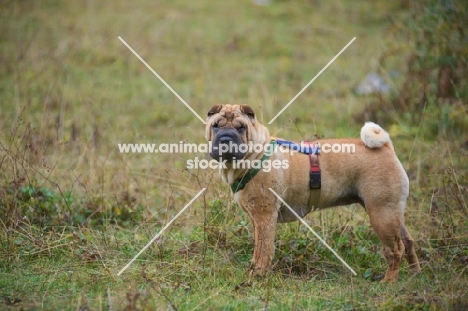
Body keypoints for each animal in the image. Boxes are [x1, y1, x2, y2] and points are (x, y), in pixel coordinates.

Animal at [205, 104, 420, 282]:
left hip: (381, 214)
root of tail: (386, 147)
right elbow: (260, 247)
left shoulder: (264, 217)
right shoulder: (257, 218)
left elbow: (263, 250)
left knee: (395, 250)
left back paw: (389, 281)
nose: (225, 138)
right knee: (408, 241)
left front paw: (257, 274)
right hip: (391, 213)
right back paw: (414, 274)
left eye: (241, 127)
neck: (254, 155)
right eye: (215, 126)